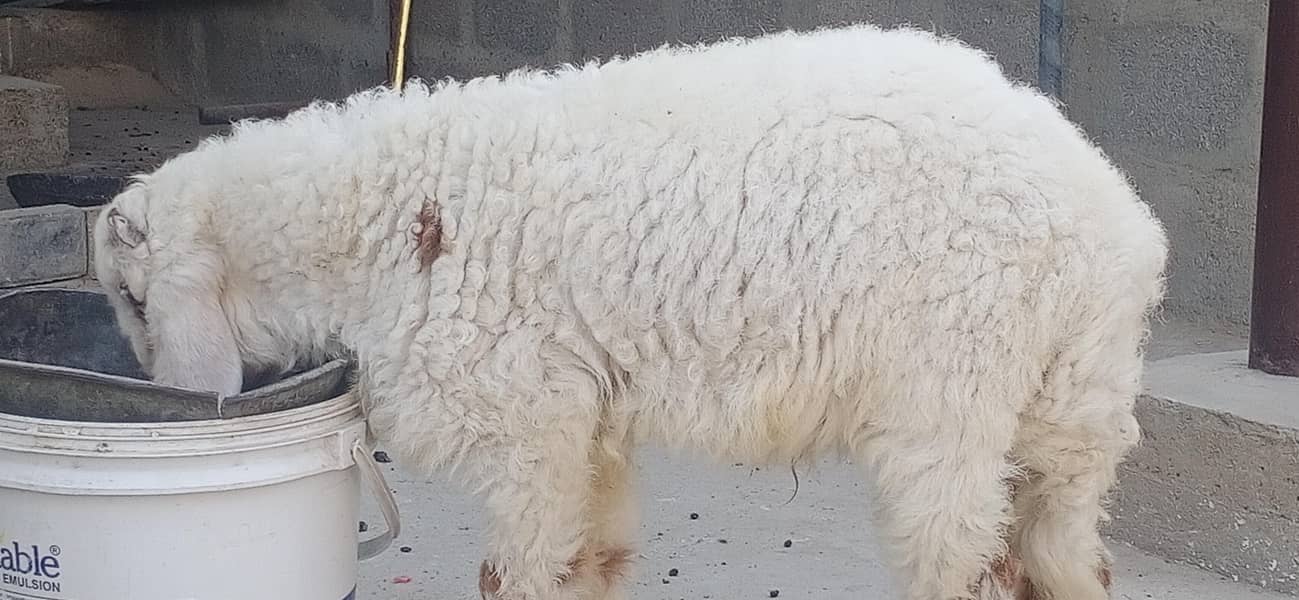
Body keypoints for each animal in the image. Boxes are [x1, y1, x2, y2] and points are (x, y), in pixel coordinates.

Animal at [92, 23, 1168, 600]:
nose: (169, 396)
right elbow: (593, 556)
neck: (383, 218)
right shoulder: (588, 412)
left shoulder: (525, 412)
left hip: (953, 385)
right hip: (1072, 393)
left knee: (963, 561)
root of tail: (1112, 221)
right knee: (1065, 556)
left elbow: (521, 571)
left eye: (137, 297)